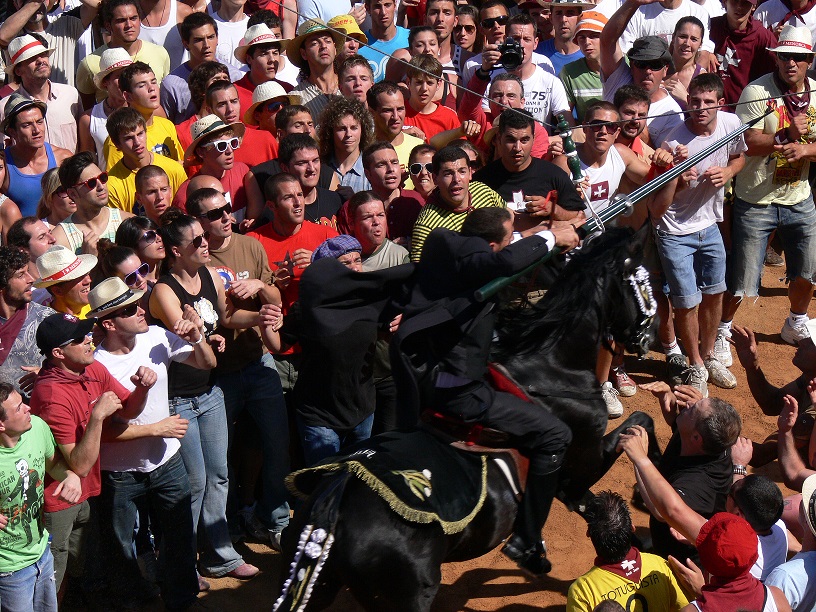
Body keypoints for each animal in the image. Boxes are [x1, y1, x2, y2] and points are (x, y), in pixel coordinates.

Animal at [274, 228, 664, 612]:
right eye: (643, 280)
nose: (651, 333)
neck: (553, 365)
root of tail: (335, 502)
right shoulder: (582, 460)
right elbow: (641, 421)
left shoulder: (574, 483)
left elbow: (596, 504)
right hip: (410, 596)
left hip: (320, 587)